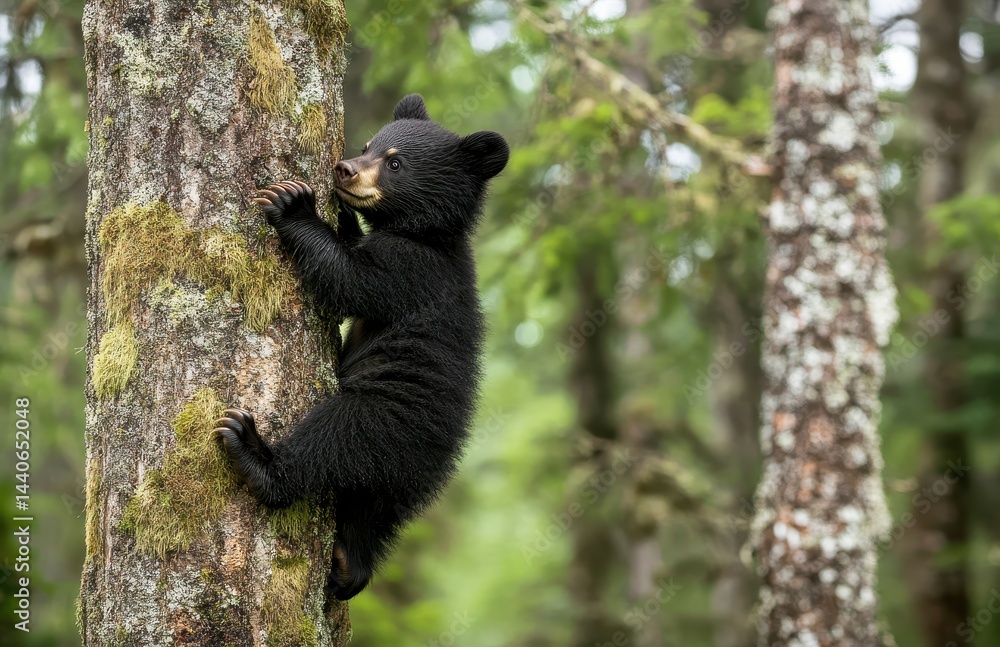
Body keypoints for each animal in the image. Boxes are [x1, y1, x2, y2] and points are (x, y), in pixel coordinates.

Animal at [214, 94, 509, 601]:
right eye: (370, 144)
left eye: (395, 163)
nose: (344, 168)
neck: (428, 234)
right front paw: (342, 217)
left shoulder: (412, 271)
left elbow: (350, 279)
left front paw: (293, 205)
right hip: (392, 489)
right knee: (372, 516)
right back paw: (350, 562)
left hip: (383, 421)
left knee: (329, 440)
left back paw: (254, 454)